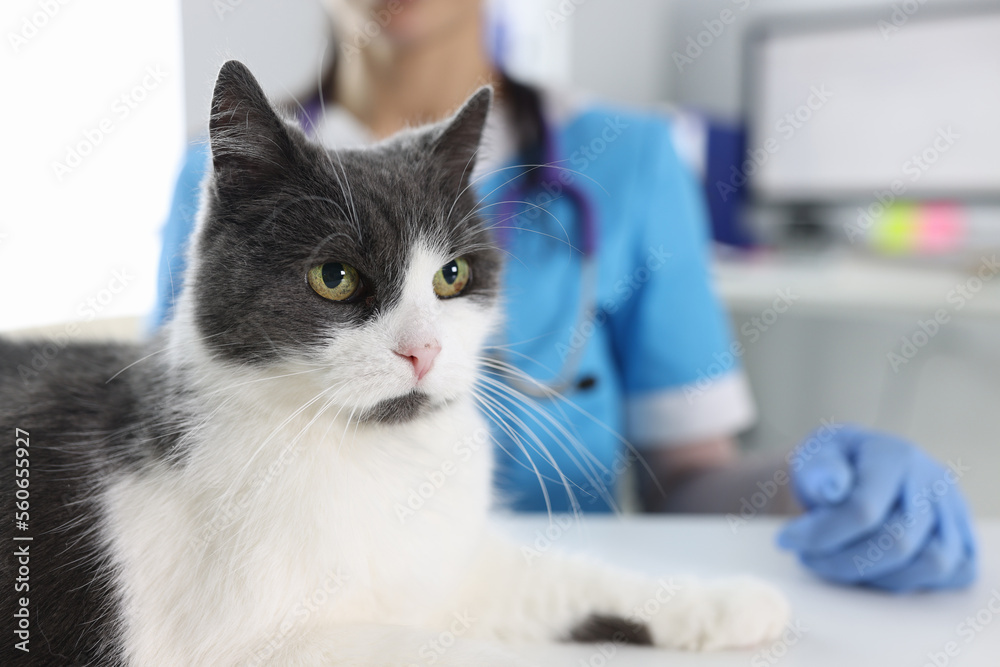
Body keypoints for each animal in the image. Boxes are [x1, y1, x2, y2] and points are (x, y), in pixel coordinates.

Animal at [0, 60, 788, 664]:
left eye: (452, 275)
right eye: (334, 277)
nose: (424, 349)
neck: (374, 462)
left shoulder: (449, 566)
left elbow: (549, 580)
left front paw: (725, 602)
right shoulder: (234, 644)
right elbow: (446, 651)